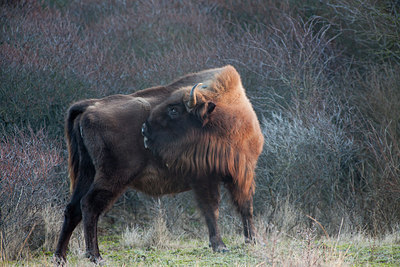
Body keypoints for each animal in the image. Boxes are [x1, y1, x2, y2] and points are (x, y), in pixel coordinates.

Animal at [54, 65, 264, 264]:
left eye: (174, 110)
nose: (144, 130)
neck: (226, 116)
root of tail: (90, 107)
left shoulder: (238, 174)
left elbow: (243, 207)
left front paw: (250, 240)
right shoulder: (209, 178)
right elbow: (215, 209)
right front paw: (221, 245)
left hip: (87, 172)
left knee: (73, 208)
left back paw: (60, 257)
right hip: (112, 176)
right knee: (89, 205)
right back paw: (96, 256)